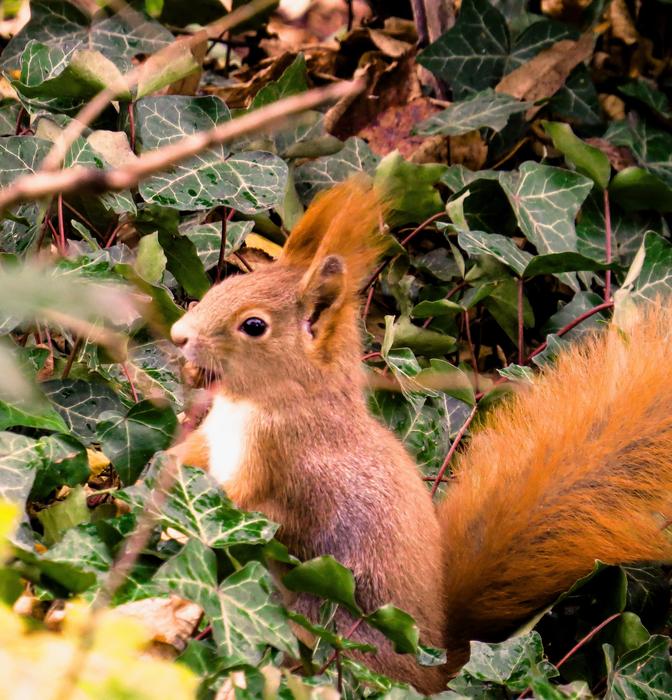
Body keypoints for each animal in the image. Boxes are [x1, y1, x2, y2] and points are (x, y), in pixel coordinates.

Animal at [169, 179, 672, 694]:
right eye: (225, 284)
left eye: (254, 326)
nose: (178, 333)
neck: (259, 402)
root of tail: (437, 664)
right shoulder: (215, 433)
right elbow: (192, 455)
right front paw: (167, 469)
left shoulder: (283, 458)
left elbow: (243, 501)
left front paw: (179, 520)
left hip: (330, 622)